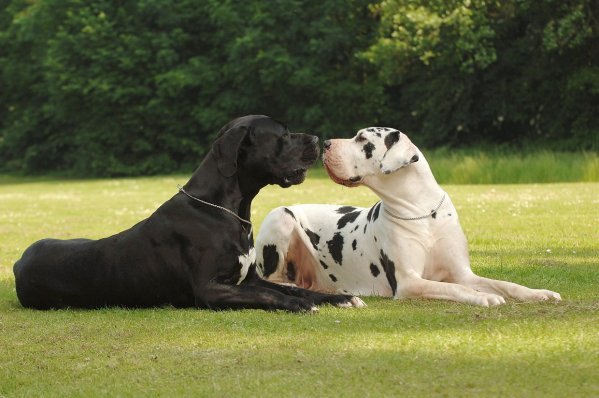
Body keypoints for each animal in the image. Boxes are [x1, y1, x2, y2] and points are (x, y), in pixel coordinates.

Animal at [12, 115, 366, 310]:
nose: (318, 139)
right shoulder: (211, 289)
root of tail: (18, 261)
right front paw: (300, 304)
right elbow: (273, 296)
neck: (227, 210)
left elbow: (290, 287)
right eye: (282, 135)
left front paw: (339, 298)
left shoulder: (250, 279)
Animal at [256, 126, 564, 306]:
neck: (421, 212)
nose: (327, 142)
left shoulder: (462, 273)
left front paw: (538, 293)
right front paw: (485, 297)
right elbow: (457, 290)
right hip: (280, 216)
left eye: (363, 139)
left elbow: (505, 284)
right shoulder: (409, 282)